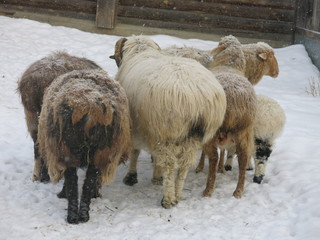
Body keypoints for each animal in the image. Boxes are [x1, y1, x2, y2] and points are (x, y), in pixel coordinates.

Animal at [37, 69, 131, 223]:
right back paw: (83, 214)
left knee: (73, 179)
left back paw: (72, 214)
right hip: (100, 150)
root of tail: (88, 106)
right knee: (90, 179)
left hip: (65, 148)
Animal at [112, 35, 228, 208]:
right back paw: (178, 195)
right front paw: (156, 177)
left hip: (167, 134)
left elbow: (135, 151)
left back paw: (167, 199)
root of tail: (196, 99)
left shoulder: (138, 127)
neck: (141, 51)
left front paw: (132, 177)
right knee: (184, 166)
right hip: (192, 137)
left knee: (169, 165)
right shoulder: (149, 130)